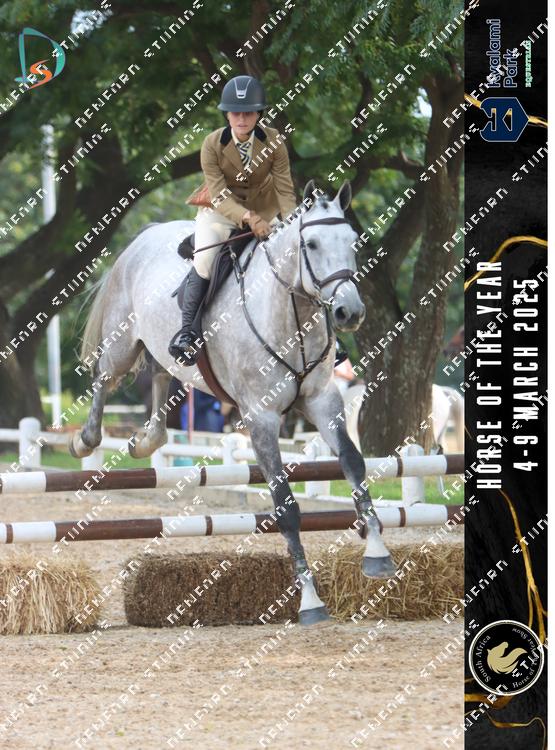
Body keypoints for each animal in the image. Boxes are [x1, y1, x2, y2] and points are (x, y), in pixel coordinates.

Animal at [71, 179, 397, 625]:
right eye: (311, 244)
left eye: (353, 242)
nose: (350, 312)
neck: (290, 312)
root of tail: (146, 235)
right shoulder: (261, 418)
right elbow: (286, 507)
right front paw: (310, 601)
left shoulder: (321, 400)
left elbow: (353, 462)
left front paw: (378, 554)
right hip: (123, 343)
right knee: (105, 377)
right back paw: (85, 440)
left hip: (161, 347)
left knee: (161, 373)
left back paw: (147, 441)